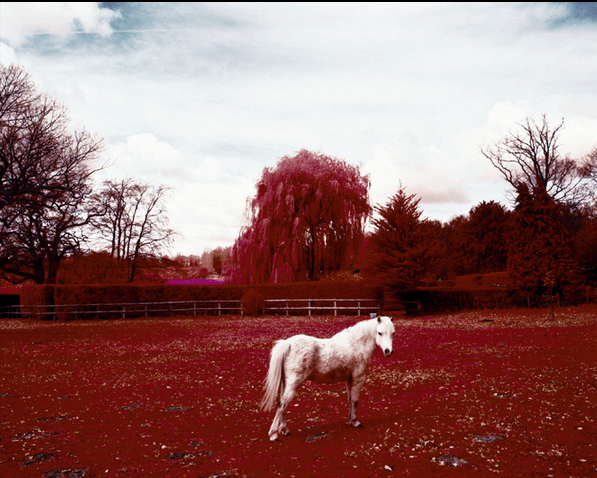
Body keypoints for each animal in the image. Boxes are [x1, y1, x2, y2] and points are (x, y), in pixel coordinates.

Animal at [262, 316, 396, 442]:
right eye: (380, 332)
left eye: (393, 333)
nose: (388, 351)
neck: (357, 344)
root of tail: (288, 343)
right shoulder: (358, 379)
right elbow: (355, 400)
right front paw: (355, 421)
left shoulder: (349, 380)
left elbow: (350, 400)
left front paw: (351, 420)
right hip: (293, 385)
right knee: (282, 404)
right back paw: (273, 434)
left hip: (286, 384)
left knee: (282, 404)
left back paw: (285, 430)